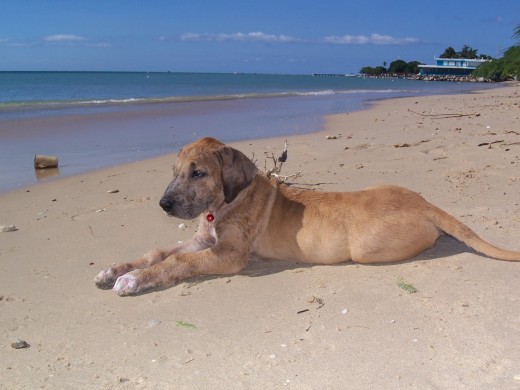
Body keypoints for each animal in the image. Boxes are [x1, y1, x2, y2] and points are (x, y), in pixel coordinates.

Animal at [94, 137, 520, 296]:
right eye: (175, 171)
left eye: (198, 173)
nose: (164, 205)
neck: (227, 204)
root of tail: (425, 203)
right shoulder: (203, 240)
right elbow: (157, 253)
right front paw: (117, 269)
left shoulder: (227, 255)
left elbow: (176, 262)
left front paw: (134, 279)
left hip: (366, 249)